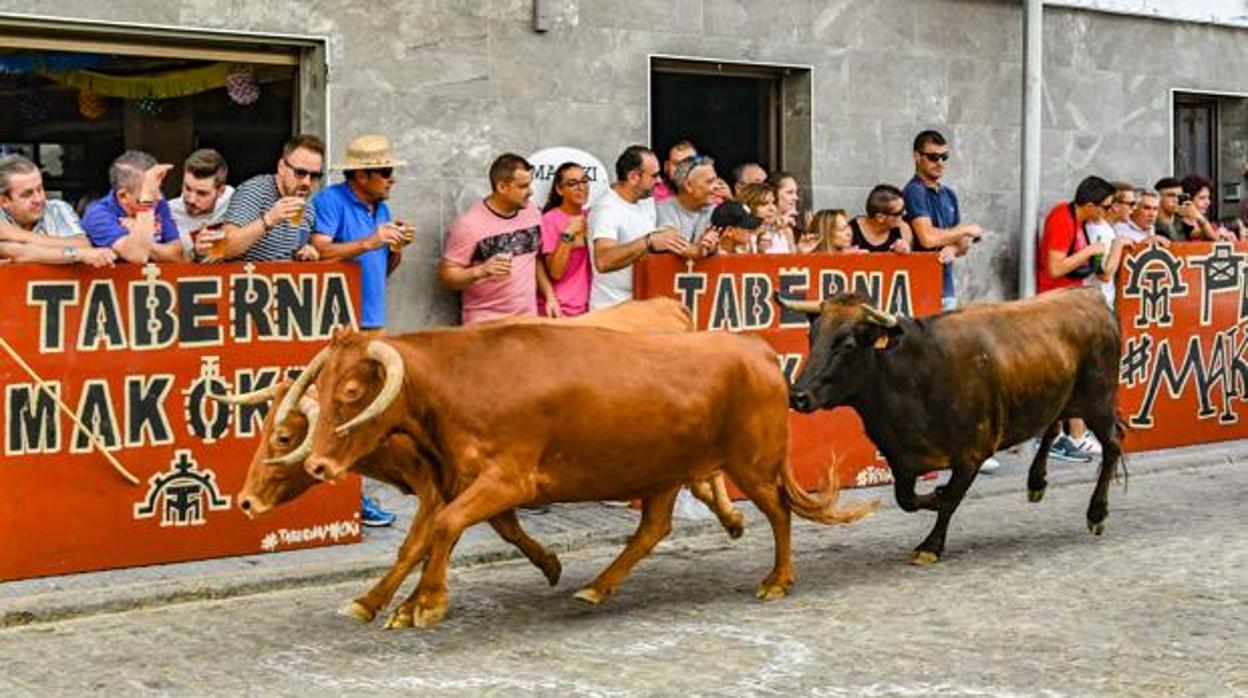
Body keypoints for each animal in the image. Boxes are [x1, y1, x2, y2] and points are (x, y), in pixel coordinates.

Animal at [292, 324, 878, 631]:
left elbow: (445, 528)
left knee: (778, 512)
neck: (462, 384)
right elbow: (425, 540)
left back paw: (777, 580)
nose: (317, 466)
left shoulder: (506, 481)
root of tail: (753, 349)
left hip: (751, 464)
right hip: (665, 472)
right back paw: (597, 587)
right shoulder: (455, 483)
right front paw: (381, 602)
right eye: (320, 388)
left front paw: (427, 603)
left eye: (351, 392)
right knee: (652, 530)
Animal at [778, 289, 1123, 569]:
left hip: (1099, 402)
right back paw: (1036, 482)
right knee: (1052, 428)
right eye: (812, 338)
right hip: (1058, 398)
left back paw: (1097, 513)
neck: (915, 374)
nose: (798, 395)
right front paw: (935, 494)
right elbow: (908, 499)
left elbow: (949, 502)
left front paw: (930, 545)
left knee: (1113, 444)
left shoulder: (972, 454)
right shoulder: (901, 458)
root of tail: (1091, 296)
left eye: (847, 344)